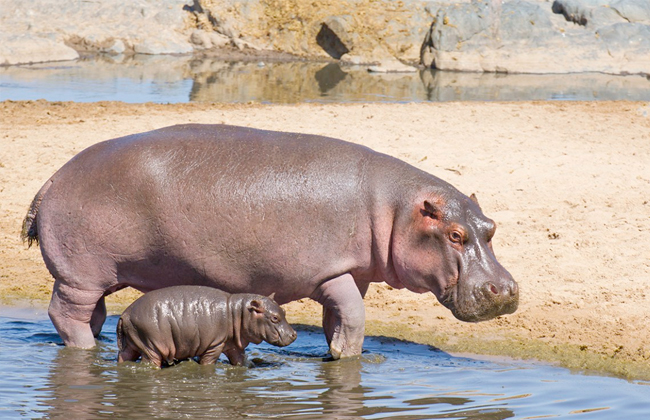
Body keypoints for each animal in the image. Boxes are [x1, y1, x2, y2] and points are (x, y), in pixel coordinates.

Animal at [21, 123, 516, 356]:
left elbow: (340, 319)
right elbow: (355, 318)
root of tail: (52, 177)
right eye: (454, 234)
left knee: (93, 315)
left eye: (491, 227)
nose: (507, 290)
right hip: (79, 276)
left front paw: (334, 353)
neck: (394, 208)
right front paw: (349, 357)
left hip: (97, 276)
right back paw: (87, 352)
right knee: (66, 314)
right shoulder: (330, 272)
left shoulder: (351, 272)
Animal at [116, 286, 296, 368]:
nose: (294, 334)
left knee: (123, 356)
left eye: (284, 311)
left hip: (132, 343)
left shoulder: (233, 345)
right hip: (151, 345)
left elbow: (240, 360)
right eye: (274, 318)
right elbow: (208, 363)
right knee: (149, 362)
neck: (238, 312)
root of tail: (125, 314)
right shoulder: (215, 345)